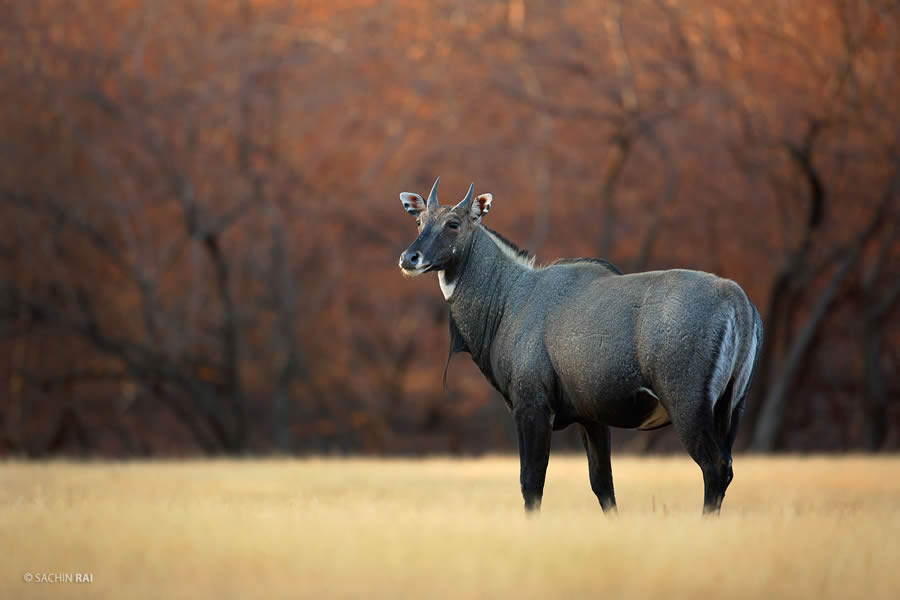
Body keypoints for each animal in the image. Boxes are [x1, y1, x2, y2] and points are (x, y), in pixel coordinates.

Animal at [398, 176, 764, 512]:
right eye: (419, 221)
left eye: (453, 223)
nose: (409, 258)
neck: (507, 299)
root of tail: (739, 302)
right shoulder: (592, 417)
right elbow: (603, 486)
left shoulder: (532, 405)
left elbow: (531, 482)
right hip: (733, 406)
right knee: (726, 467)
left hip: (688, 403)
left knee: (713, 467)